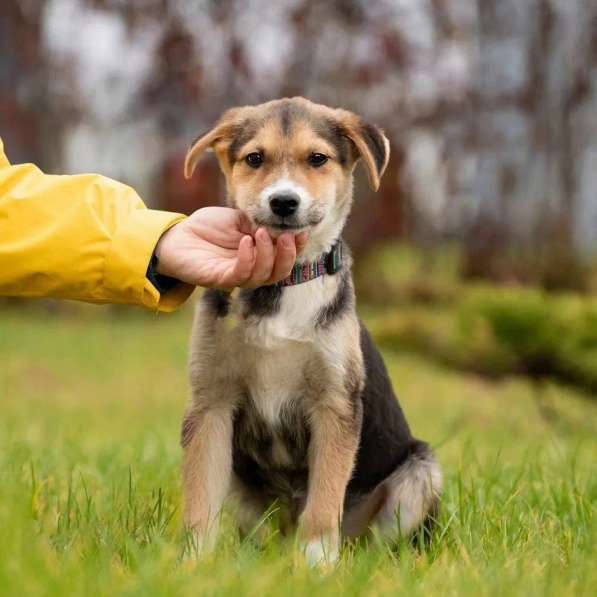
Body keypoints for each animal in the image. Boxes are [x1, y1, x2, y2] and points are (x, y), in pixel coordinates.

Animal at [179, 96, 440, 564]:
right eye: (255, 159)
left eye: (317, 159)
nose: (284, 202)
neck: (283, 286)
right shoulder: (211, 401)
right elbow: (199, 498)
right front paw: (191, 564)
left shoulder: (334, 403)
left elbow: (323, 500)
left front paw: (316, 564)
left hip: (421, 470)